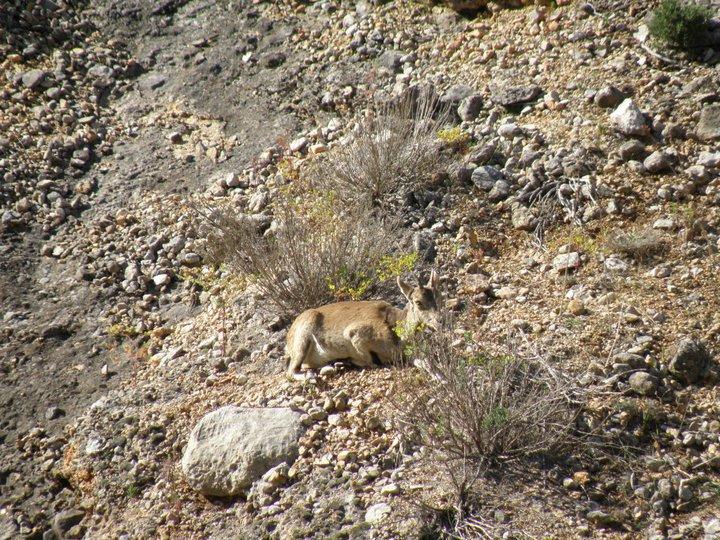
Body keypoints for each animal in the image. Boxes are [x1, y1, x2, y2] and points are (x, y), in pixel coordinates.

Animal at [284, 270, 442, 380]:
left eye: (437, 297)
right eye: (418, 302)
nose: (439, 322)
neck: (398, 333)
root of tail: (289, 337)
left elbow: (426, 363)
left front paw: (440, 377)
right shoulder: (354, 334)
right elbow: (369, 360)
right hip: (302, 340)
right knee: (291, 371)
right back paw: (312, 375)